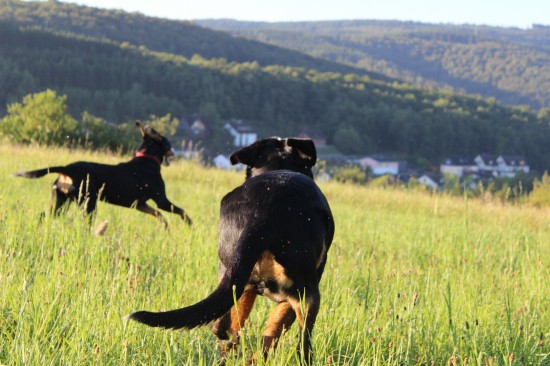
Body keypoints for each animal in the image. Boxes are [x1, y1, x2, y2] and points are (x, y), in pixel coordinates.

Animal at [130, 137, 336, 364]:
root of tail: (263, 213)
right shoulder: (288, 301)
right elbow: (273, 332)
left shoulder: (249, 289)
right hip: (307, 296)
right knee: (302, 345)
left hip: (232, 275)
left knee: (222, 326)